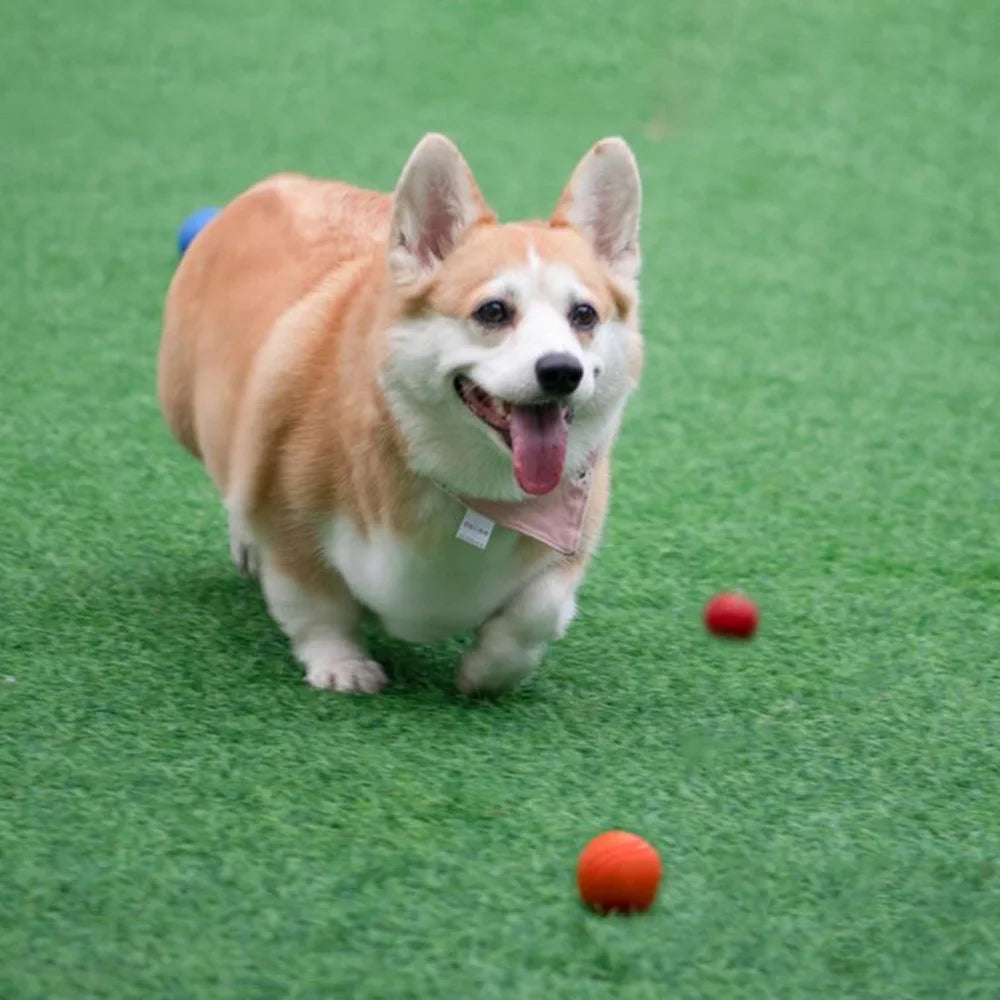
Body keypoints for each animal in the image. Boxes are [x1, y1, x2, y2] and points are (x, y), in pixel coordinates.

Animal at [156, 133, 640, 696]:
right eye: (493, 311)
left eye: (583, 315)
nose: (562, 371)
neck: (476, 493)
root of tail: (274, 185)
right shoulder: (289, 525)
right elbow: (317, 606)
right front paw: (343, 667)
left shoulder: (568, 547)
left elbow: (535, 613)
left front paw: (487, 674)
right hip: (186, 417)